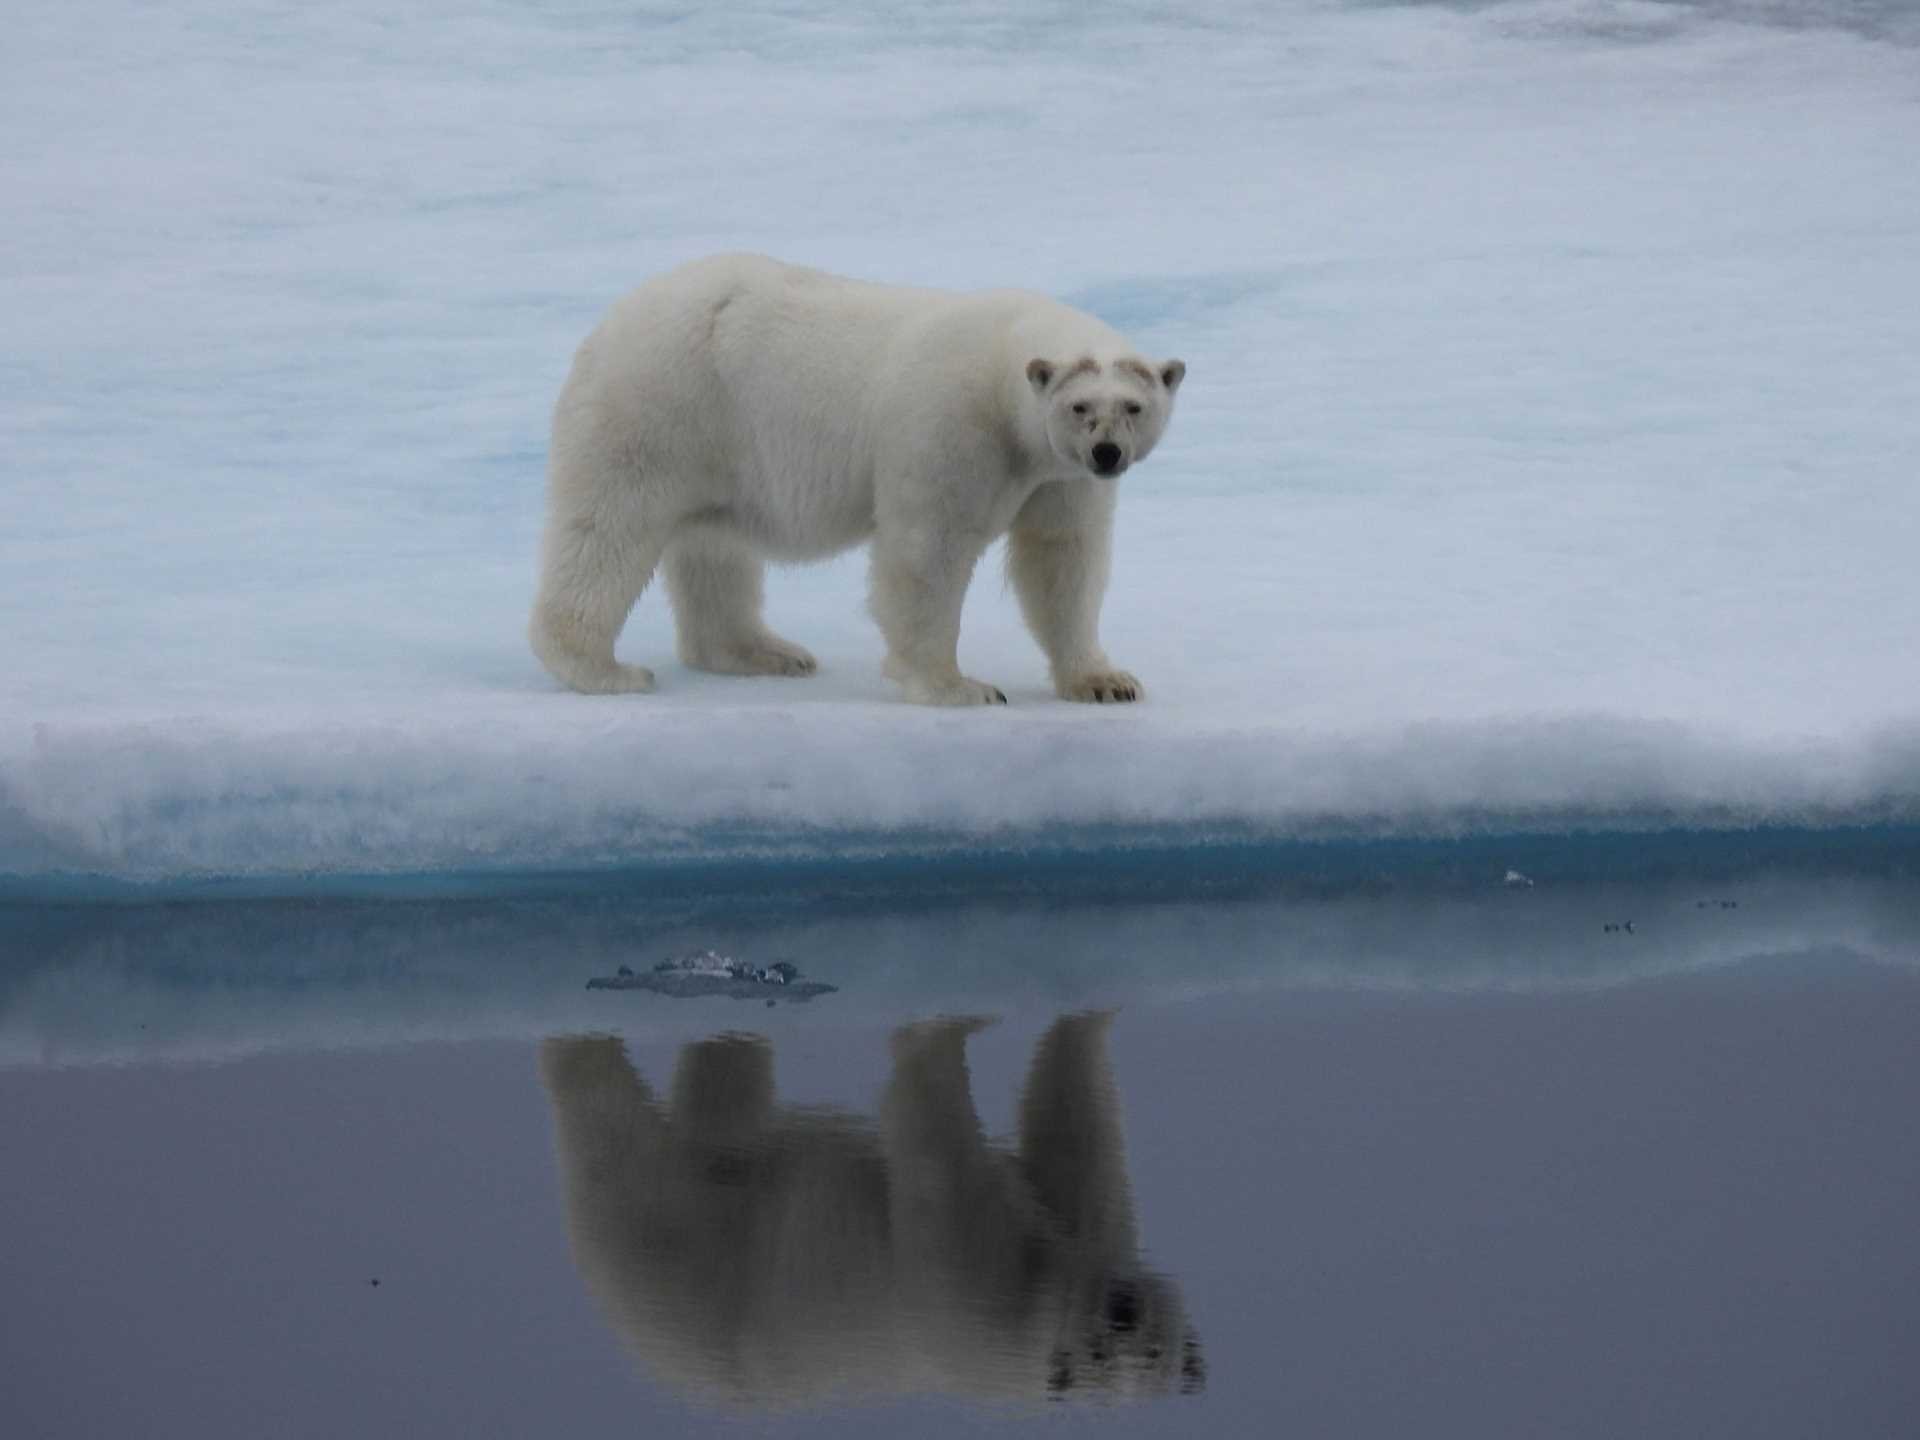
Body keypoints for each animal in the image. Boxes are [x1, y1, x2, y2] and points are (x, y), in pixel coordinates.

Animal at [529, 263, 1182, 714]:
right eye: (1080, 406)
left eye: (1133, 405)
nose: (1107, 453)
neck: (1002, 374)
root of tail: (608, 322)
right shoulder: (952, 428)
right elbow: (928, 554)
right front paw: (959, 687)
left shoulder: (1058, 476)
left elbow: (1062, 560)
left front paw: (1106, 682)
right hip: (657, 410)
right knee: (608, 531)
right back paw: (603, 669)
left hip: (716, 450)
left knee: (714, 549)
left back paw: (765, 651)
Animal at [541, 1013, 1198, 1413]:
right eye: (1096, 1357)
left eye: (1154, 1356)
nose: (1122, 1309)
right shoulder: (976, 1305)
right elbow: (935, 1146)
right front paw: (951, 1025)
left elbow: (1069, 1135)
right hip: (674, 1260)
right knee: (613, 1131)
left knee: (723, 1102)